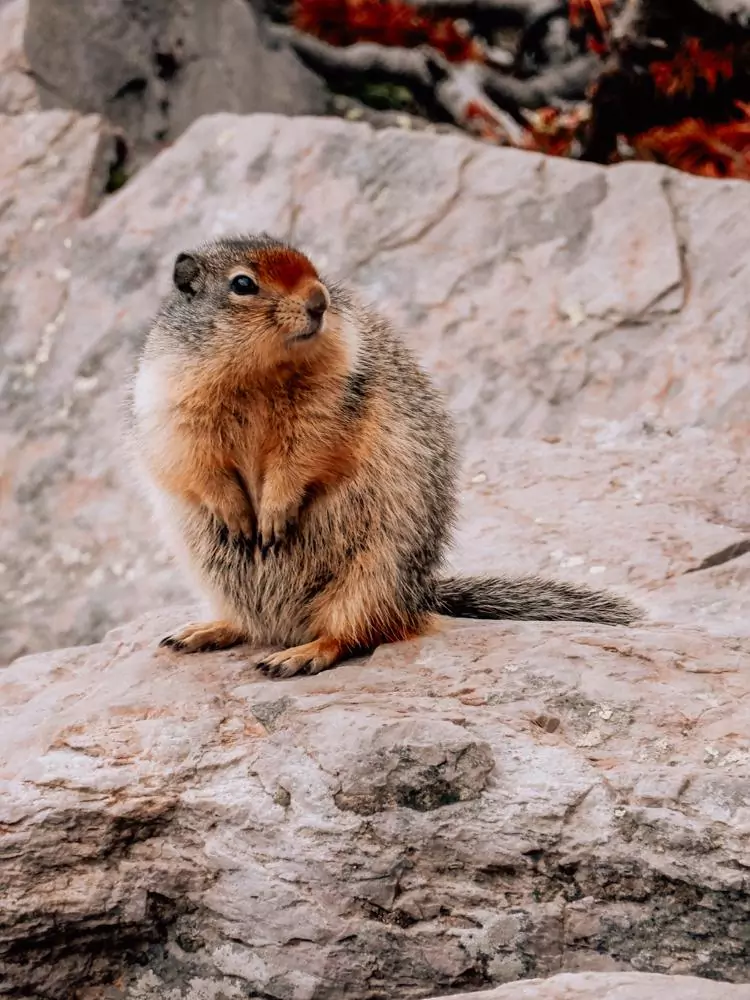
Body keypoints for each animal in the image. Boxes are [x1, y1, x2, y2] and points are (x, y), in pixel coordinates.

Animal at [131, 234, 648, 680]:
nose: (319, 301)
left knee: (354, 633)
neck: (261, 374)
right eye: (243, 283)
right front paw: (237, 516)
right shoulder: (173, 400)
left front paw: (274, 512)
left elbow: (306, 450)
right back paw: (201, 631)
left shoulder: (334, 394)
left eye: (313, 267)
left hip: (374, 574)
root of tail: (421, 597)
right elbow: (192, 458)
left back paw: (297, 656)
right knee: (250, 623)